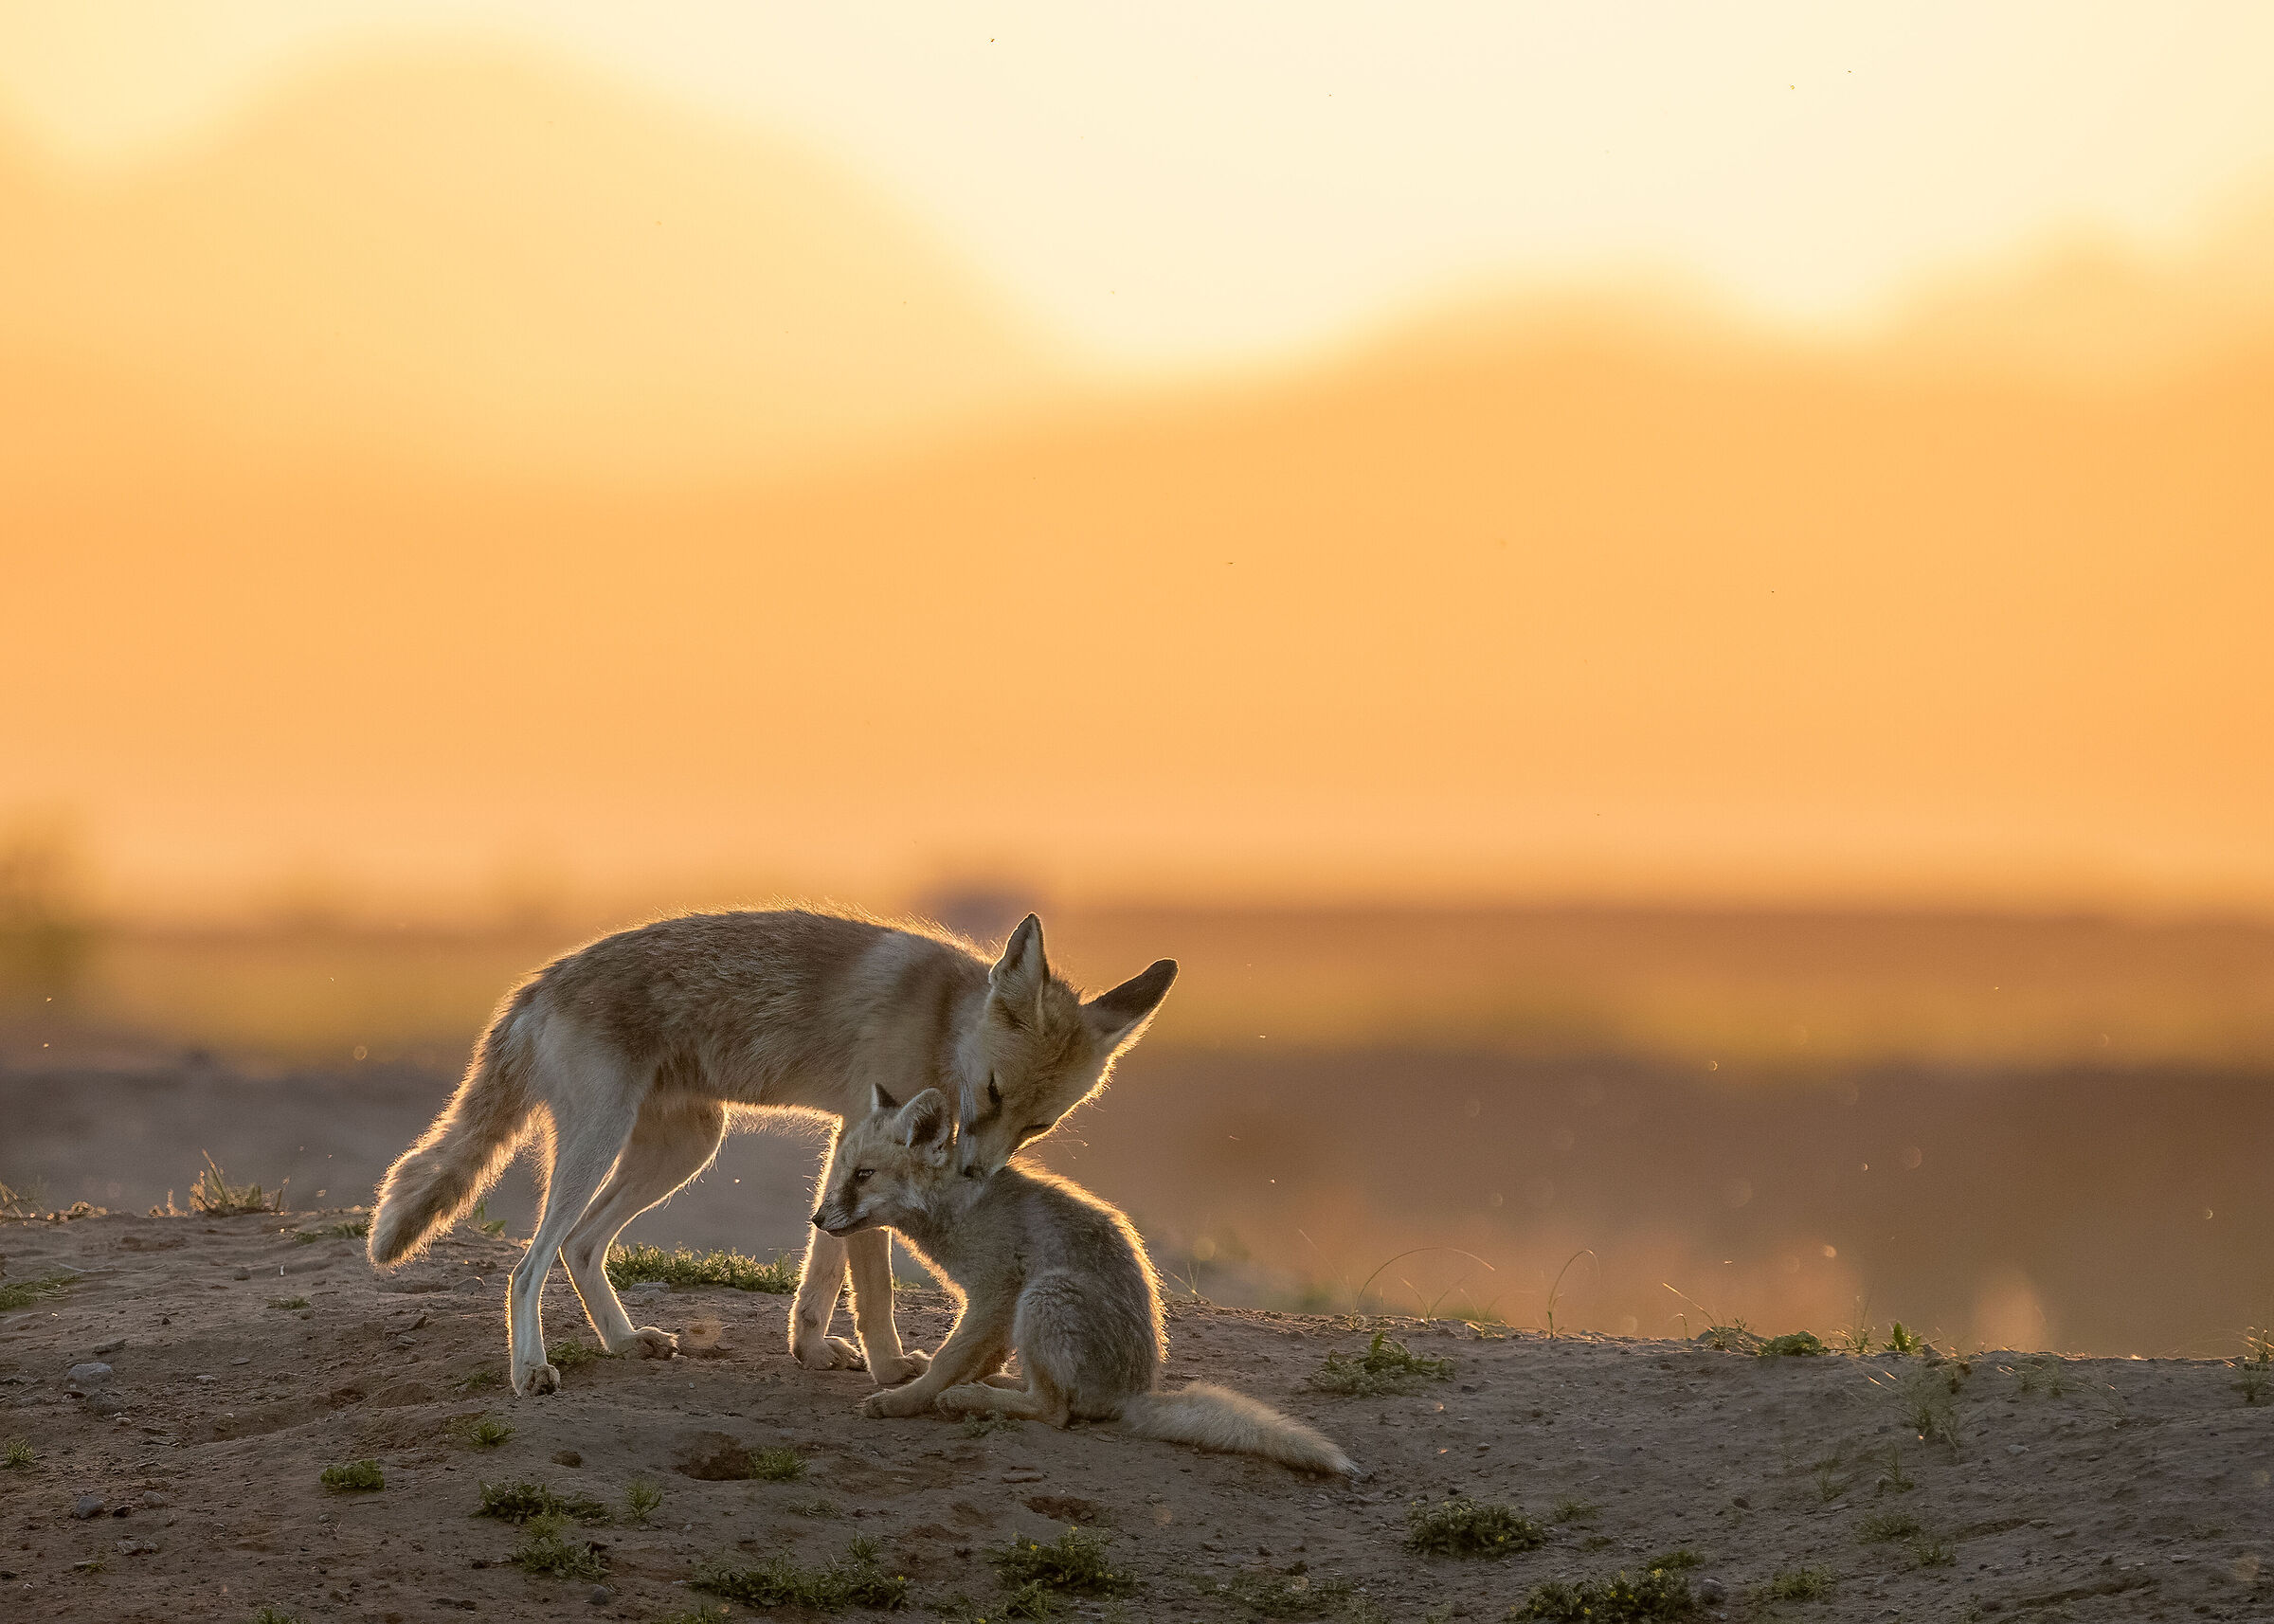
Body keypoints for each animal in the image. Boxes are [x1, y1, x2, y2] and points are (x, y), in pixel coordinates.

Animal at [366, 908, 1175, 1398]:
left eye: (1039, 1127)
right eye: (994, 1093)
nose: (978, 1174)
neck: (944, 1019)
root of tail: (538, 983)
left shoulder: (855, 1144)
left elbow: (824, 1270)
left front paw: (810, 1352)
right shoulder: (865, 1131)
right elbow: (871, 1287)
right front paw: (888, 1368)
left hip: (686, 1147)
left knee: (581, 1246)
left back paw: (623, 1342)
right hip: (600, 1143)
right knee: (527, 1266)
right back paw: (530, 1368)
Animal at [812, 1083, 1357, 1477]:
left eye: (863, 1175)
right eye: (842, 1173)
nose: (817, 1219)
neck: (957, 1207)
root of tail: (1133, 1393)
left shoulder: (999, 1290)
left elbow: (949, 1361)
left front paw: (904, 1401)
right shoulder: (994, 1305)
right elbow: (973, 1356)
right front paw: (944, 1383)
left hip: (1044, 1297)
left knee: (1054, 1412)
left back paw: (974, 1400)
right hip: (1034, 1315)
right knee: (1039, 1392)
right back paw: (992, 1388)